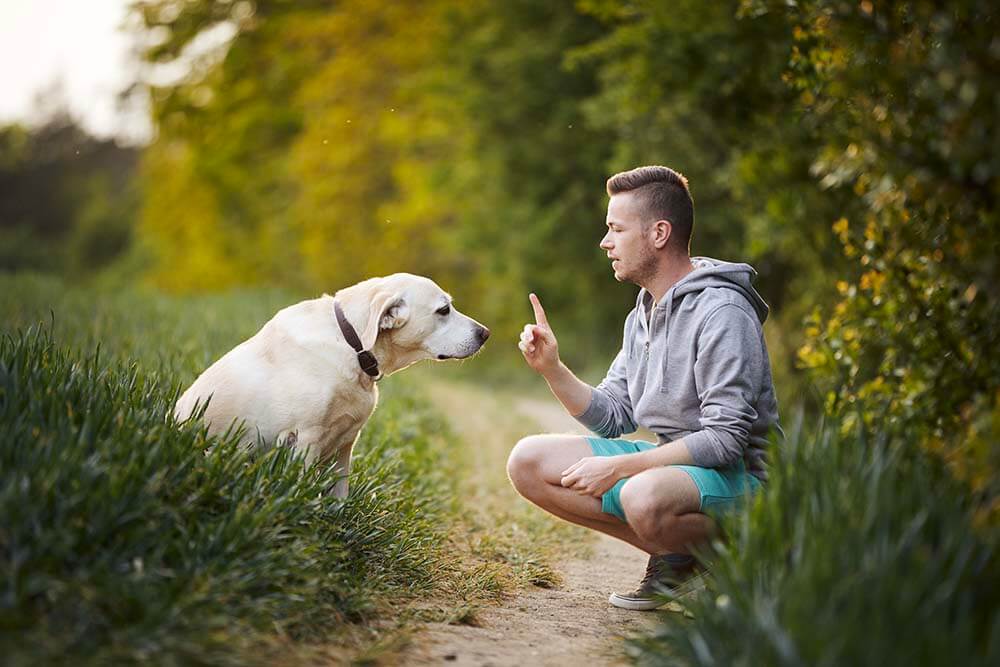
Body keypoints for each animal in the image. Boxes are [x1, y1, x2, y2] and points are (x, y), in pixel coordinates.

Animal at [174, 274, 490, 498]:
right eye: (444, 310)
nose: (485, 333)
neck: (353, 345)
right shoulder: (305, 438)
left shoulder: (346, 445)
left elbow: (339, 496)